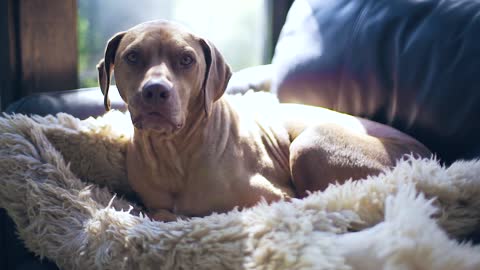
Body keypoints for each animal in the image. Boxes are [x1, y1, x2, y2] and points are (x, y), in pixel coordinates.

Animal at [95, 20, 430, 221]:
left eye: (187, 60)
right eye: (133, 56)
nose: (155, 91)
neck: (175, 152)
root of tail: (426, 156)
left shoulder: (273, 197)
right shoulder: (155, 205)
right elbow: (160, 212)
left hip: (311, 143)